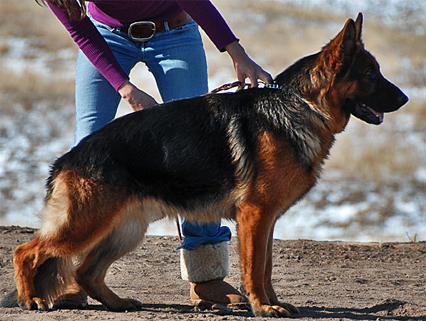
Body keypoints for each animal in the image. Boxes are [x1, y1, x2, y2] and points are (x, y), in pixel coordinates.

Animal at [4, 13, 410, 316]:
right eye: (370, 75)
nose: (406, 99)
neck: (301, 106)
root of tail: (67, 158)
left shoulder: (267, 219)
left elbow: (266, 267)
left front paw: (274, 303)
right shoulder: (255, 215)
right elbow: (253, 269)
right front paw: (262, 307)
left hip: (125, 229)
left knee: (86, 271)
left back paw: (117, 303)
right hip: (85, 225)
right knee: (27, 251)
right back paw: (30, 298)